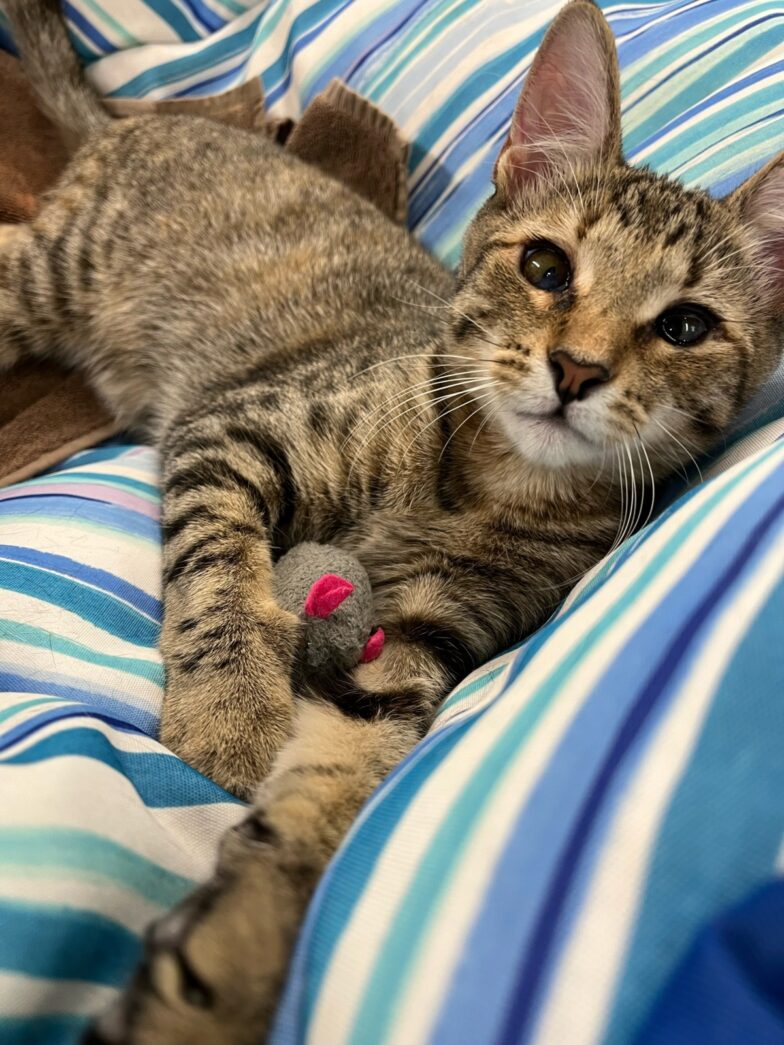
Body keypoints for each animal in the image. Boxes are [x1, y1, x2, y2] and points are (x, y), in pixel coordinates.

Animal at [0, 0, 781, 1040]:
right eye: (546, 266)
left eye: (686, 326)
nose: (576, 369)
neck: (492, 483)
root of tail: (136, 124)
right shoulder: (232, 427)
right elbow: (219, 571)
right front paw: (232, 709)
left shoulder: (410, 639)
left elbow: (336, 786)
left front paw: (228, 966)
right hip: (52, 273)